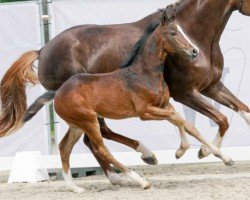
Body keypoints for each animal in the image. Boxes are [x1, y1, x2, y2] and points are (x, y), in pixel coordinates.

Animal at [53, 10, 231, 193]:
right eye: (173, 33)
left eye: (182, 30)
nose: (194, 51)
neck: (145, 74)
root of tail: (58, 94)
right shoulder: (145, 111)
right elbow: (178, 119)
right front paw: (181, 151)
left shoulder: (164, 105)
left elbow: (187, 125)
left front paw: (222, 157)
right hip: (89, 121)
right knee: (101, 149)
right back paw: (141, 180)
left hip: (77, 125)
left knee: (64, 147)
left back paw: (74, 187)